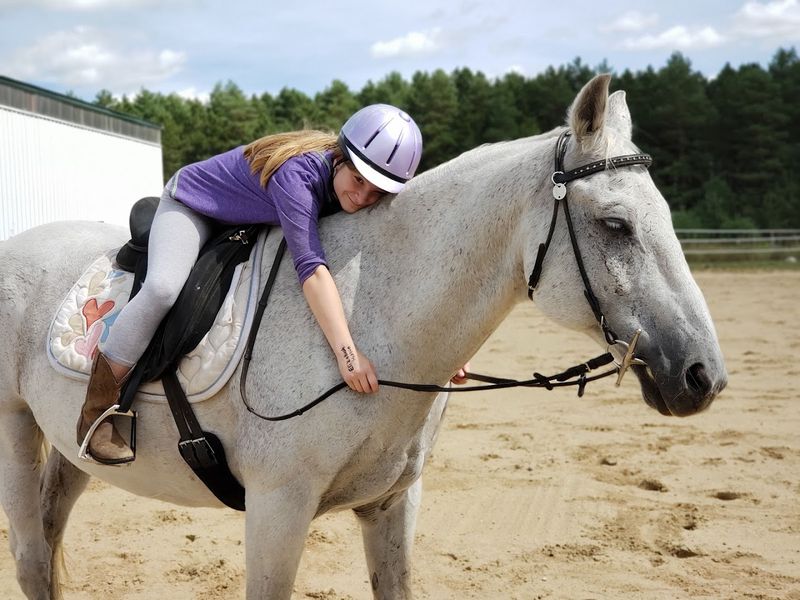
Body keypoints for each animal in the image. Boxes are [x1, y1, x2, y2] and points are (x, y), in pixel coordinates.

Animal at [0, 74, 727, 599]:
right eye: (615, 225)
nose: (704, 376)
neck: (374, 317)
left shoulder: (391, 506)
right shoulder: (277, 509)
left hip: (71, 453)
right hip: (15, 428)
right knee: (32, 557)